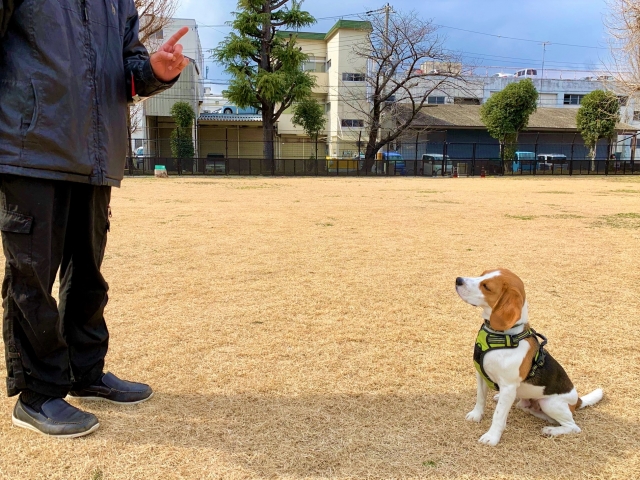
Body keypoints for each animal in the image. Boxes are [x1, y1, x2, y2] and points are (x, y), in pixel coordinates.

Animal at [456, 270, 600, 446]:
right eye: (482, 274)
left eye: (487, 287)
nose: (458, 280)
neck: (502, 336)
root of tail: (576, 400)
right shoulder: (481, 375)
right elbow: (480, 398)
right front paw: (476, 415)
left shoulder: (508, 386)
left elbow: (498, 416)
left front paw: (492, 437)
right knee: (527, 407)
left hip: (549, 403)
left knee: (573, 426)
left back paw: (552, 430)